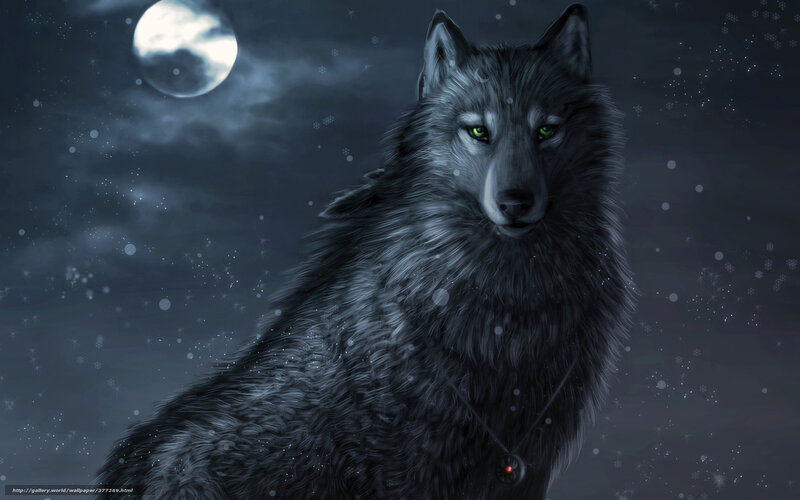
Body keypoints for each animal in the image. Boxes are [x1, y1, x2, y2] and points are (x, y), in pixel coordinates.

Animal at [96, 4, 636, 499]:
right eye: (479, 131)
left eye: (546, 129)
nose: (515, 203)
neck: (509, 310)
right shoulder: (414, 469)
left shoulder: (527, 462)